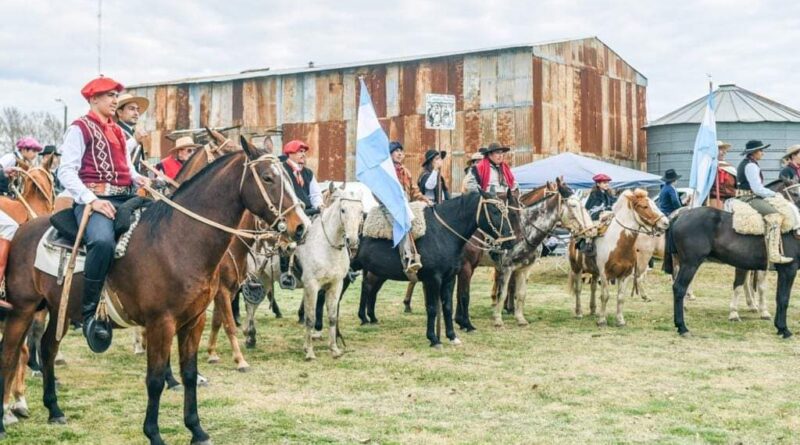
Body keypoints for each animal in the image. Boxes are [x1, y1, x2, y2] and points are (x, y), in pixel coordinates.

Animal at [0, 140, 309, 444]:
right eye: (268, 178)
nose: (301, 225)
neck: (178, 240)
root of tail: (23, 230)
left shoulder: (193, 320)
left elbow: (189, 373)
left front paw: (196, 429)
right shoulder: (161, 322)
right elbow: (155, 379)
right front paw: (154, 433)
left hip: (58, 309)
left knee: (48, 348)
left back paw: (54, 409)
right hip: (23, 310)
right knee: (10, 354)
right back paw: (8, 417)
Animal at [353, 190, 514, 347]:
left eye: (507, 212)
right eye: (494, 211)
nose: (511, 241)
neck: (442, 233)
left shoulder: (450, 279)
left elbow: (447, 306)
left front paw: (452, 336)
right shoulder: (433, 279)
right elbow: (432, 308)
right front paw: (434, 339)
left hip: (378, 273)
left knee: (369, 287)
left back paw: (369, 318)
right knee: (365, 288)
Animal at [568, 189, 669, 326]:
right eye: (644, 206)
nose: (666, 222)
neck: (618, 243)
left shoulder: (625, 274)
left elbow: (620, 297)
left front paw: (620, 320)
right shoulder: (605, 274)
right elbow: (605, 296)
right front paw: (602, 320)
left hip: (594, 272)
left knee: (593, 288)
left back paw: (593, 310)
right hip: (577, 268)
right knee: (578, 289)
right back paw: (579, 312)